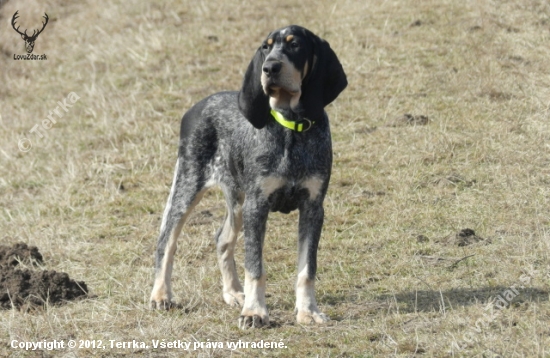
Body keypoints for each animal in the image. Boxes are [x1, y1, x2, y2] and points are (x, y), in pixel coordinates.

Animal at [150, 23, 350, 328]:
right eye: (266, 48)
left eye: (294, 45)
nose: (270, 68)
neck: (290, 128)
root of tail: (196, 107)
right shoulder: (258, 206)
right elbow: (255, 267)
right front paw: (255, 312)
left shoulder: (313, 207)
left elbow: (307, 269)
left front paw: (307, 311)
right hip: (189, 186)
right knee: (166, 242)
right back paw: (161, 295)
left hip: (238, 200)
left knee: (222, 239)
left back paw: (232, 293)